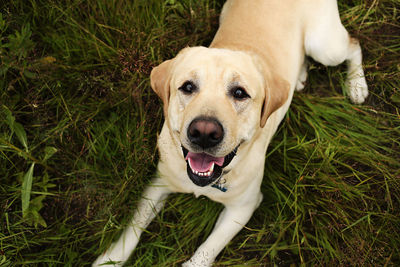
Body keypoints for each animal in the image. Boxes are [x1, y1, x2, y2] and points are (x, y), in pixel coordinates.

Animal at [94, 0, 368, 266]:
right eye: (187, 87)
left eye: (239, 93)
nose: (204, 133)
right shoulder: (160, 181)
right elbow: (134, 223)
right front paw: (111, 258)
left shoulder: (242, 207)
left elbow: (207, 251)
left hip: (325, 46)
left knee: (354, 44)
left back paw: (356, 84)